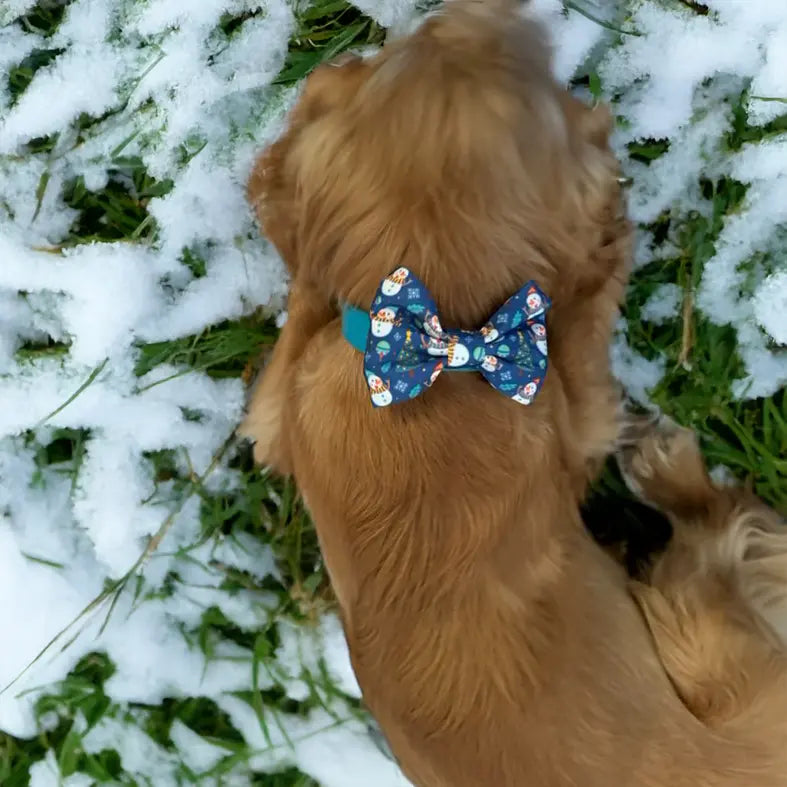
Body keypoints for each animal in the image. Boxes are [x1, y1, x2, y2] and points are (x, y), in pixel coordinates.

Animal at [240, 3, 787, 784]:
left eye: (409, 43)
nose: (489, 10)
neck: (439, 347)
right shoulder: (575, 411)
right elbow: (586, 333)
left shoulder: (281, 406)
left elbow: (294, 330)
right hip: (693, 625)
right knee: (729, 534)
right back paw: (667, 467)